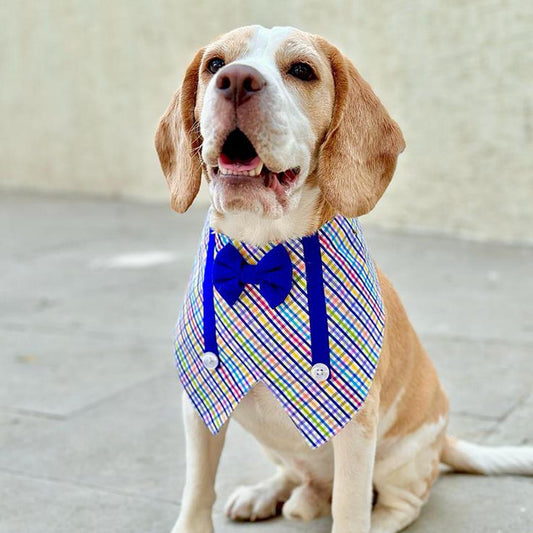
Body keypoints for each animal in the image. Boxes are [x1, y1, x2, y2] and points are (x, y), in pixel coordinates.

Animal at [155, 25, 532, 532]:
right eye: (215, 64)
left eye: (302, 70)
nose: (235, 80)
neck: (260, 253)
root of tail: (444, 441)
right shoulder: (200, 400)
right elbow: (198, 490)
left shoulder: (354, 425)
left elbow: (351, 509)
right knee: (300, 479)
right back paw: (269, 494)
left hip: (401, 460)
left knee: (398, 505)